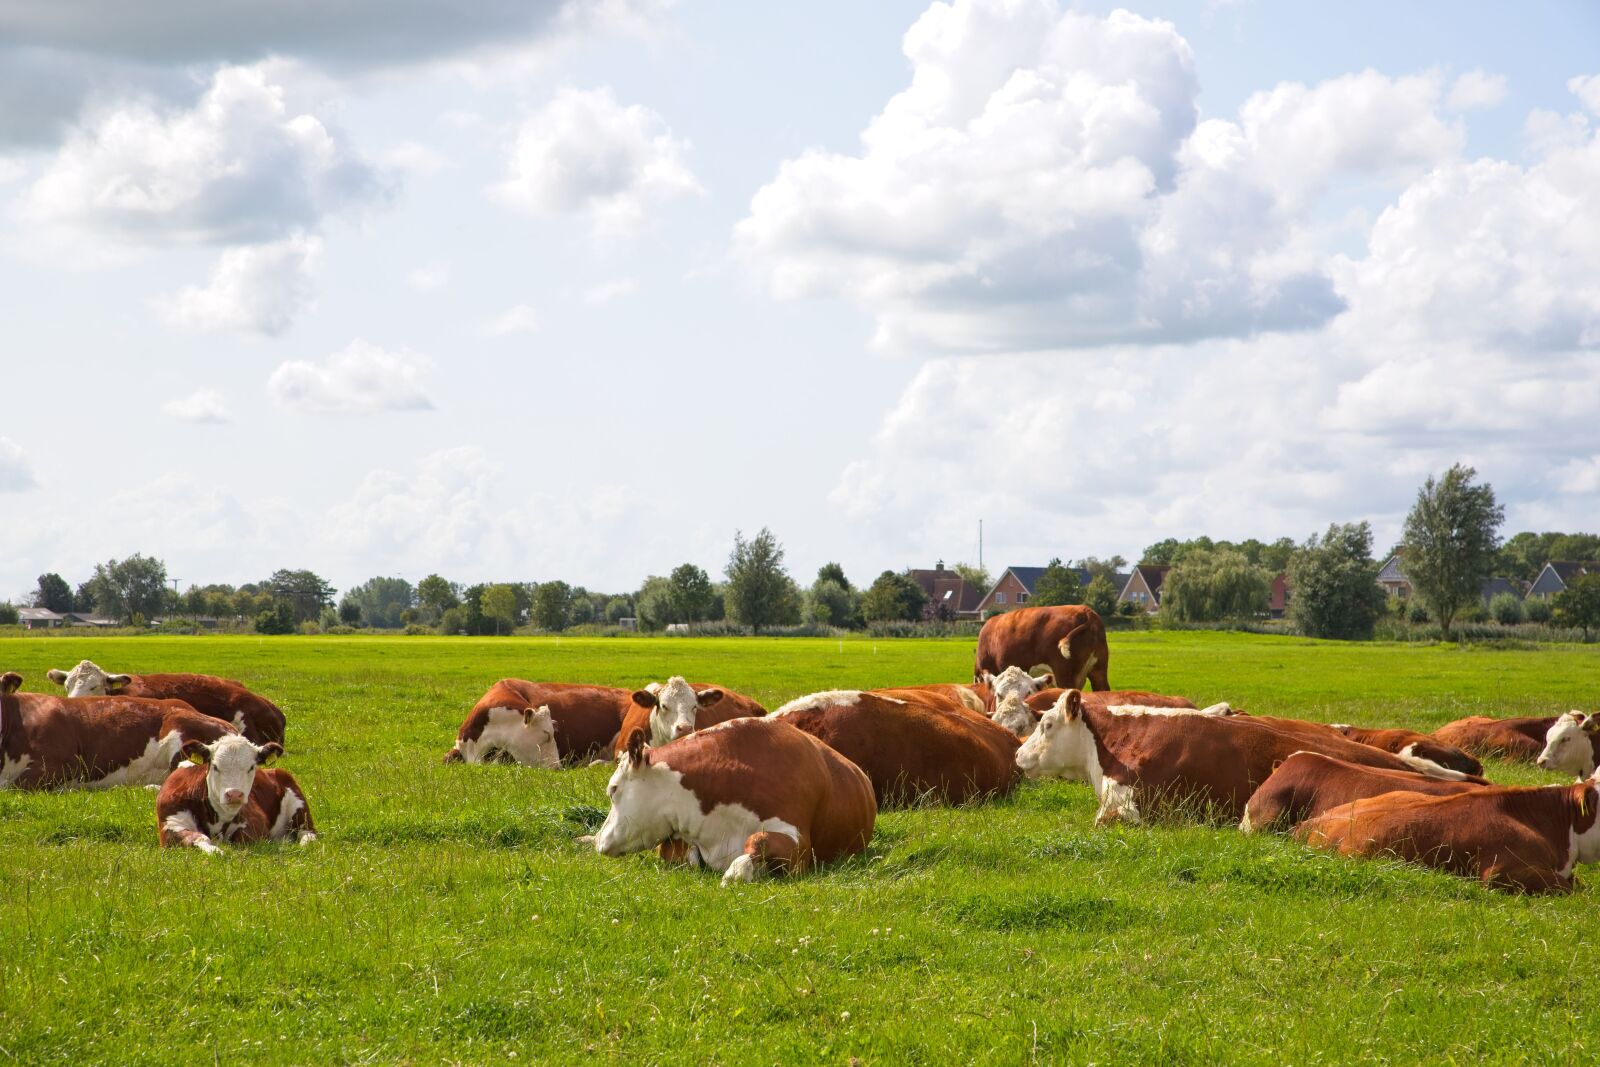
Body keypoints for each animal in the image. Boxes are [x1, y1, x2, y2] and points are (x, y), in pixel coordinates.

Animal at [156, 735, 316, 855]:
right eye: (215, 766)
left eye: (251, 767)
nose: (234, 794)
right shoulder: (170, 824)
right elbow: (199, 838)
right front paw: (215, 850)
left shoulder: (255, 823)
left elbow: (241, 838)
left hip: (300, 810)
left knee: (308, 833)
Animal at [593, 718, 876, 886]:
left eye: (613, 789)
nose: (598, 840)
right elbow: (678, 851)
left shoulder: (800, 848)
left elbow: (758, 840)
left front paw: (737, 871)